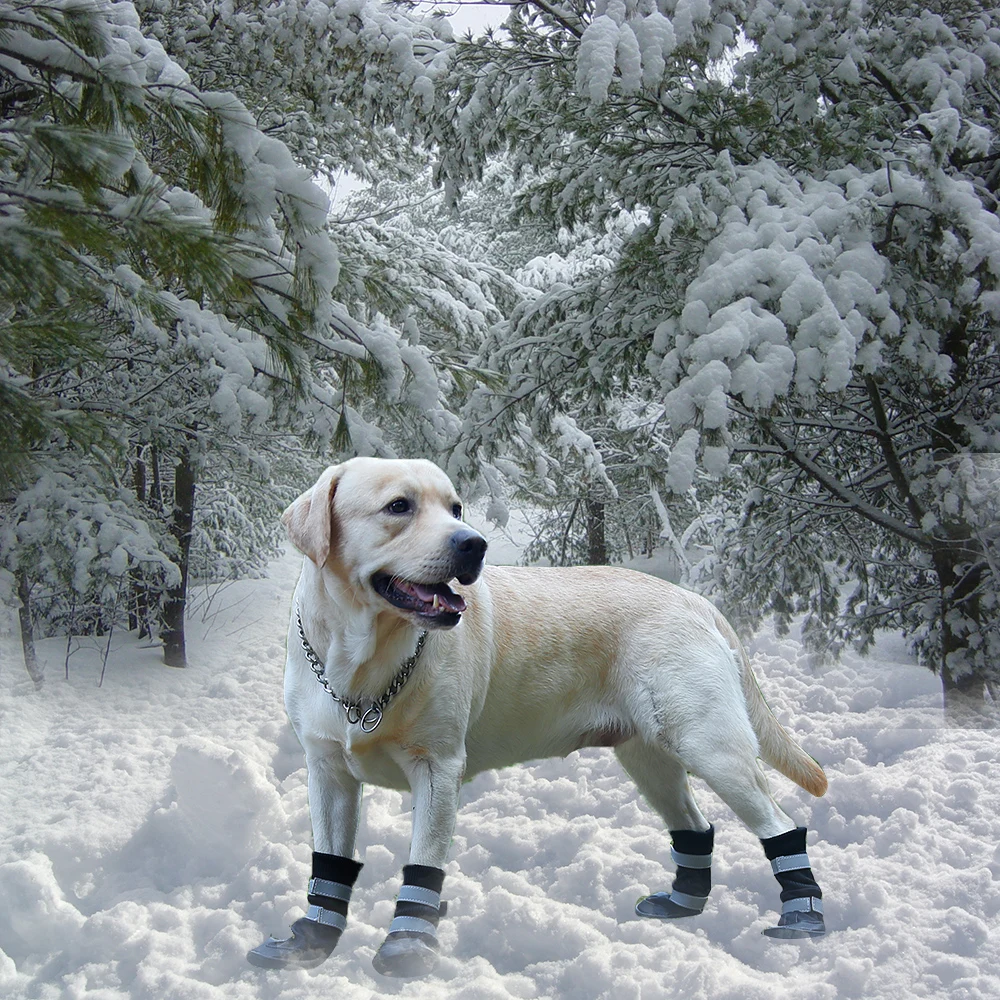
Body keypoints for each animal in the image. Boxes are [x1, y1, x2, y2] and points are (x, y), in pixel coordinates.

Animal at [250, 458, 828, 976]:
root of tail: (695, 601)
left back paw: (804, 918)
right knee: (694, 825)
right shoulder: (328, 770)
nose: (473, 543)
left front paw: (407, 948)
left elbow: (423, 866)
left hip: (710, 746)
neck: (361, 659)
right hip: (651, 758)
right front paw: (311, 943)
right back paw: (682, 905)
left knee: (780, 826)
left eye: (456, 507)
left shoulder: (437, 769)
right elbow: (330, 863)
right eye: (399, 506)